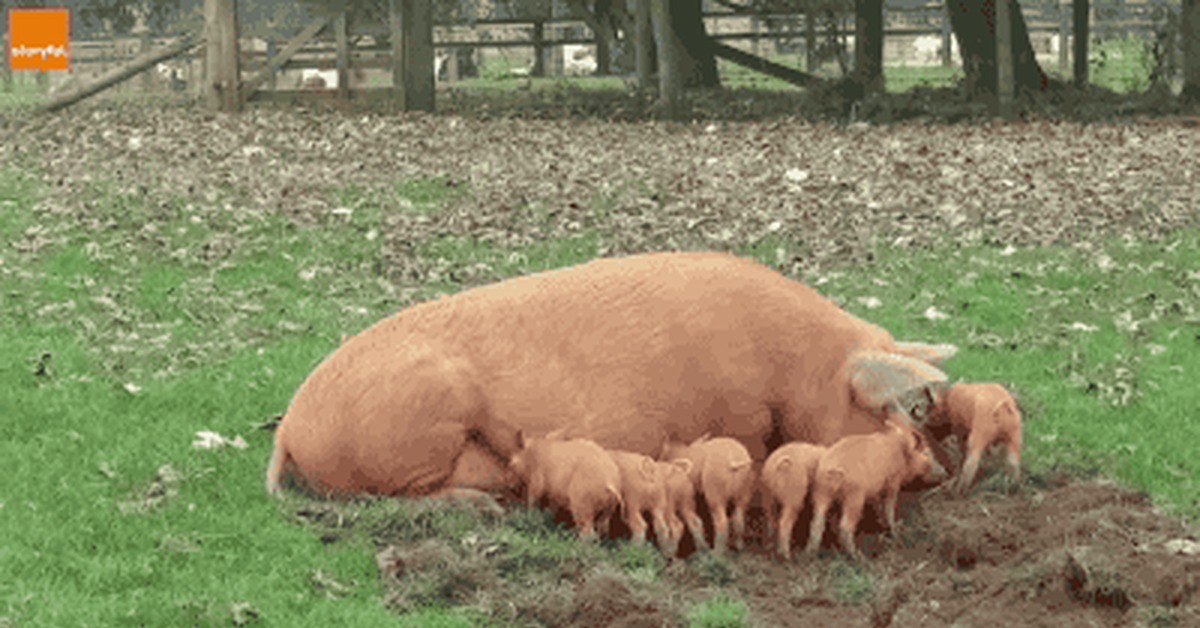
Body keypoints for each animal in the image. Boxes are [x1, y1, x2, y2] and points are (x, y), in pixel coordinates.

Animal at [265, 250, 955, 501]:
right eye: (905, 408)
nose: (940, 475)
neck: (793, 365)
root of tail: (290, 426)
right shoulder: (734, 414)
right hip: (426, 410)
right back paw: (485, 503)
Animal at [806, 417, 945, 559]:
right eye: (926, 452)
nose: (944, 471)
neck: (902, 452)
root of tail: (832, 469)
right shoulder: (893, 483)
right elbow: (889, 507)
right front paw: (895, 530)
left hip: (821, 492)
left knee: (816, 523)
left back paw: (810, 554)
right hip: (854, 497)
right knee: (845, 526)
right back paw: (858, 557)